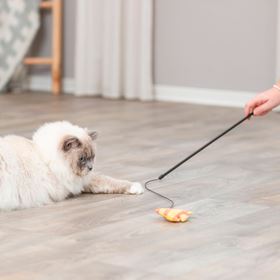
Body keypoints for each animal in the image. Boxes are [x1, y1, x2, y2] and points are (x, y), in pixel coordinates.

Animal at [0, 120, 144, 210]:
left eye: (92, 157)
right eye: (82, 158)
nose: (91, 168)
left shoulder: (80, 180)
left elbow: (108, 181)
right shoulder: (73, 181)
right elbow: (106, 180)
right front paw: (137, 187)